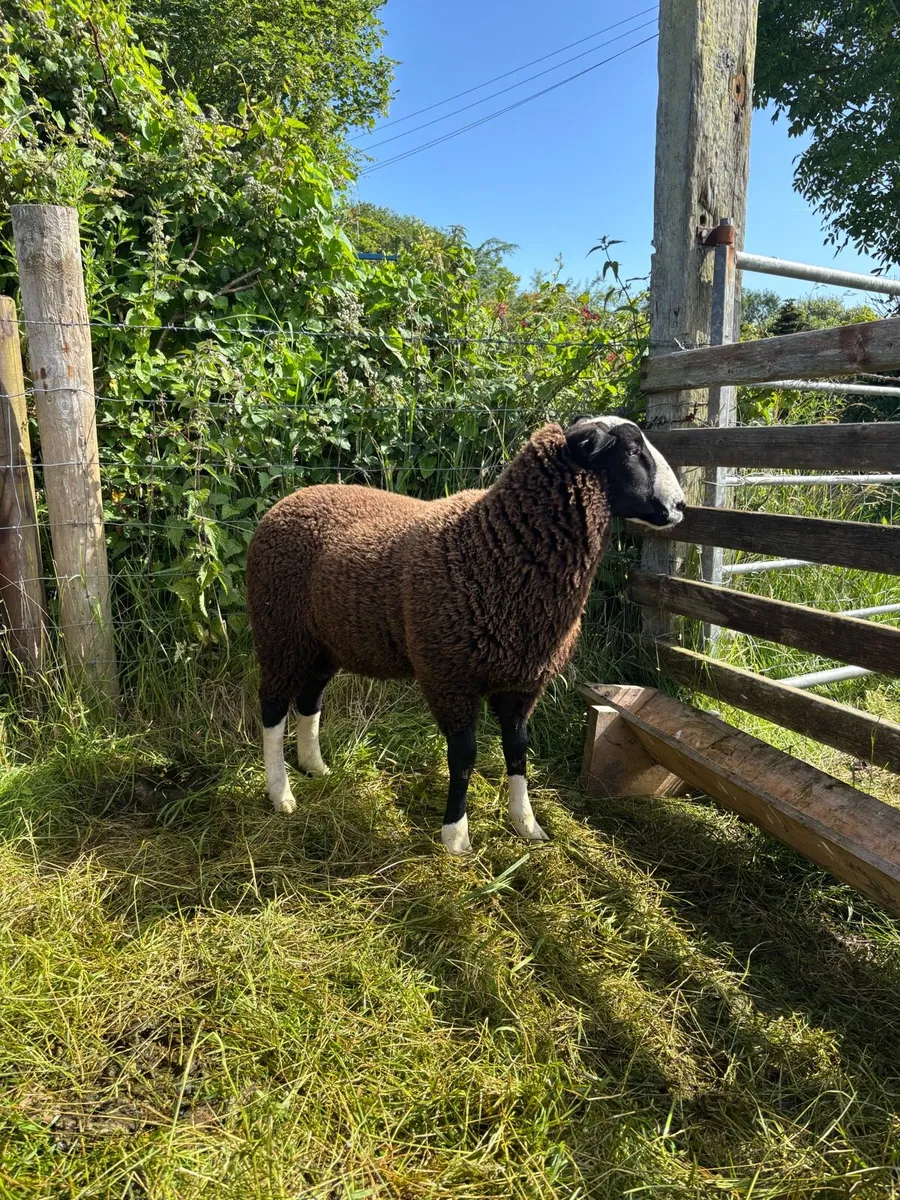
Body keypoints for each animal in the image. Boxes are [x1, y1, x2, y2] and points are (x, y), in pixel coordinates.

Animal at [246, 415, 685, 853]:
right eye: (631, 450)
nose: (680, 506)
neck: (495, 543)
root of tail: (288, 500)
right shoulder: (450, 676)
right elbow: (464, 756)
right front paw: (456, 836)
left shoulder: (523, 681)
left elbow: (518, 750)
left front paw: (526, 823)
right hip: (279, 632)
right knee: (272, 708)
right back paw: (280, 793)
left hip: (322, 643)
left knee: (309, 700)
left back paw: (315, 767)